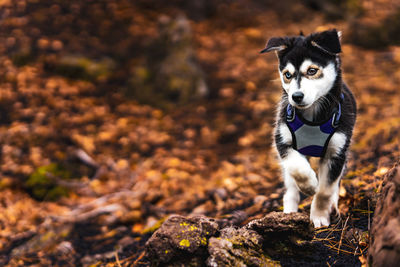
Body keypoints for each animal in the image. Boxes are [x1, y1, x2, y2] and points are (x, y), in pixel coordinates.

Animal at [262, 29, 356, 228]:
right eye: (287, 75)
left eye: (312, 70)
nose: (296, 96)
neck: (313, 116)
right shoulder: (282, 140)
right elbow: (297, 168)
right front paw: (310, 185)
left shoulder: (337, 153)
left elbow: (325, 190)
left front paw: (319, 215)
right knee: (290, 186)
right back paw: (289, 212)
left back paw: (333, 206)